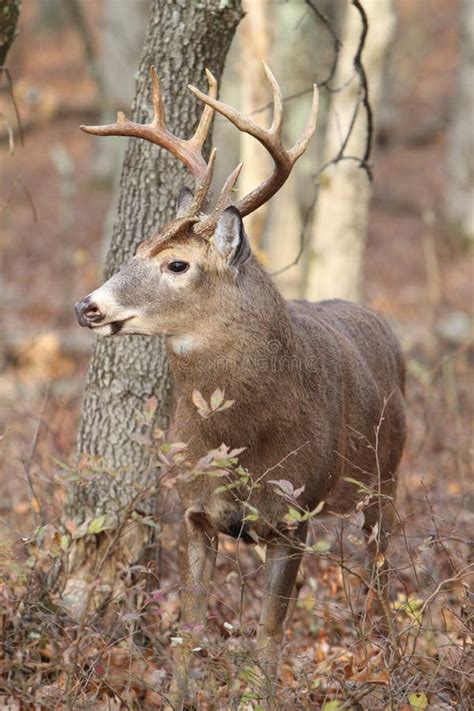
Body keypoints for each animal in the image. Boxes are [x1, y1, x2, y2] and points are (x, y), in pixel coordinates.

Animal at [76, 64, 406, 708]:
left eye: (178, 264)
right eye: (135, 249)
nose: (88, 306)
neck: (244, 437)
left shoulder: (294, 515)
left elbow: (270, 635)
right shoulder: (193, 510)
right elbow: (188, 627)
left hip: (387, 479)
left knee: (381, 577)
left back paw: (391, 669)